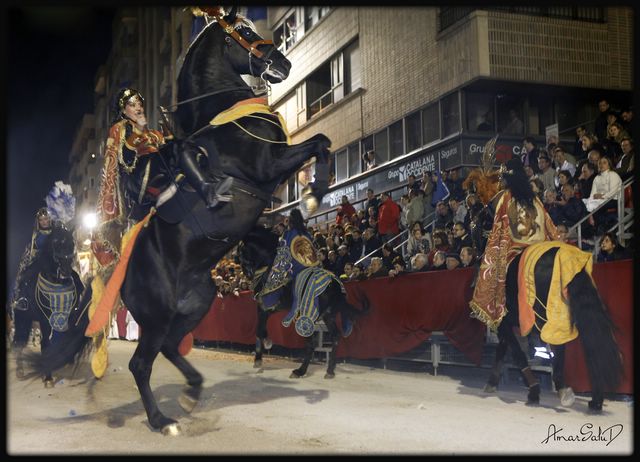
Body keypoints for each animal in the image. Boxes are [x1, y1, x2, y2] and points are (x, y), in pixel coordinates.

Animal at [11, 226, 88, 388]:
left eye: (72, 244)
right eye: (55, 243)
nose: (65, 271)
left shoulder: (68, 318)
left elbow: (65, 339)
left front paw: (65, 360)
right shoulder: (45, 320)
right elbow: (46, 345)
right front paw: (47, 377)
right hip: (22, 319)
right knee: (19, 342)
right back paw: (20, 370)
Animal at [33, 7, 336, 434]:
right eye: (243, 32)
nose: (283, 63)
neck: (223, 113)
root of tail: (119, 274)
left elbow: (322, 142)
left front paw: (311, 195)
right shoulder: (268, 164)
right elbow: (319, 142)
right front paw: (313, 194)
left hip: (195, 304)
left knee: (169, 347)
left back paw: (192, 392)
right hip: (158, 314)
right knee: (141, 363)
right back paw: (162, 420)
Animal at [236, 225, 368, 378]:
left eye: (241, 251)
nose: (247, 273)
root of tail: (335, 286)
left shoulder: (265, 307)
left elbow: (259, 331)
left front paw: (260, 357)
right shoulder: (269, 308)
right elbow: (261, 330)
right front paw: (264, 350)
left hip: (307, 317)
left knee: (311, 343)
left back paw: (300, 371)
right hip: (329, 316)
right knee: (335, 337)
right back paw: (329, 371)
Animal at [482, 242, 624, 412]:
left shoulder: (504, 320)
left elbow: (516, 352)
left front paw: (534, 391)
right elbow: (503, 349)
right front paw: (492, 383)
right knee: (590, 344)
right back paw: (594, 399)